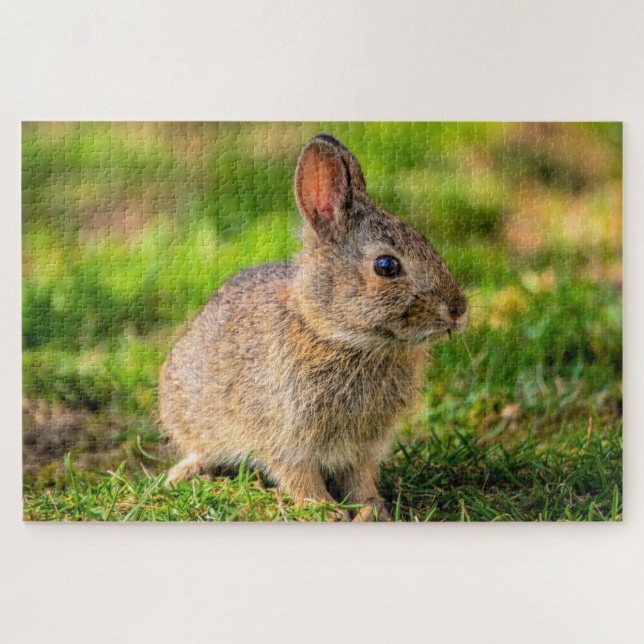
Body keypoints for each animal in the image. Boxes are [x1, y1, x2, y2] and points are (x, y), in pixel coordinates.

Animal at [159, 133, 468, 521]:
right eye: (386, 265)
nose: (458, 310)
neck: (337, 336)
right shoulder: (285, 436)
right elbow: (299, 476)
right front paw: (325, 510)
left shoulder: (362, 447)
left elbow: (360, 478)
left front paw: (372, 510)